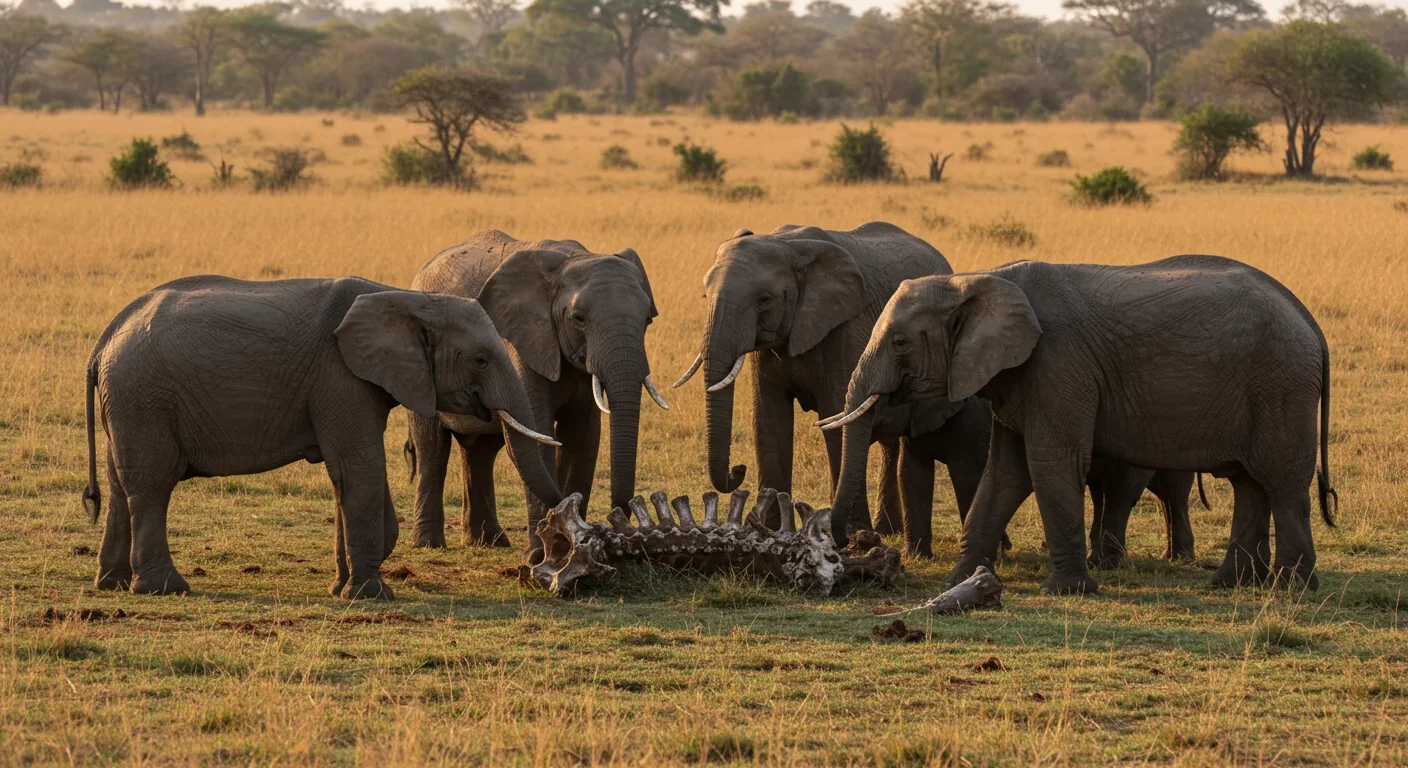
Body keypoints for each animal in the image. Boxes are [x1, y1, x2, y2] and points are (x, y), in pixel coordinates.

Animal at [81, 275, 563, 600]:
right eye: (480, 360)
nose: (535, 562)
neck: (405, 299)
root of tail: (104, 339)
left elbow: (343, 477)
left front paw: (342, 587)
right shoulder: (340, 377)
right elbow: (359, 469)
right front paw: (371, 595)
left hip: (127, 402)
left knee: (121, 482)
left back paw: (112, 584)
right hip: (144, 397)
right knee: (151, 484)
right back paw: (166, 589)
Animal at [402, 230, 664, 555]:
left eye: (648, 320)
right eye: (578, 319)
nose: (609, 524)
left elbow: (582, 438)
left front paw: (570, 544)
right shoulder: (519, 341)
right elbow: (539, 435)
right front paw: (544, 552)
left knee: (480, 451)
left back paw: (489, 542)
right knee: (432, 448)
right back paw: (429, 544)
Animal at [673, 222, 989, 541]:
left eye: (764, 300)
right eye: (705, 297)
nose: (738, 469)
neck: (787, 246)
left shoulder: (847, 330)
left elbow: (835, 417)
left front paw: (854, 535)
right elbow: (769, 422)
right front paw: (768, 530)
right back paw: (887, 531)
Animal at [824, 255, 1335, 594]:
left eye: (901, 342)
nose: (851, 543)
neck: (974, 279)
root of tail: (1309, 320)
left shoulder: (1058, 364)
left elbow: (1049, 463)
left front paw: (1065, 590)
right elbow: (1005, 474)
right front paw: (961, 579)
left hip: (1281, 384)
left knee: (1282, 482)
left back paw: (1290, 588)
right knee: (1250, 483)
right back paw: (1230, 585)